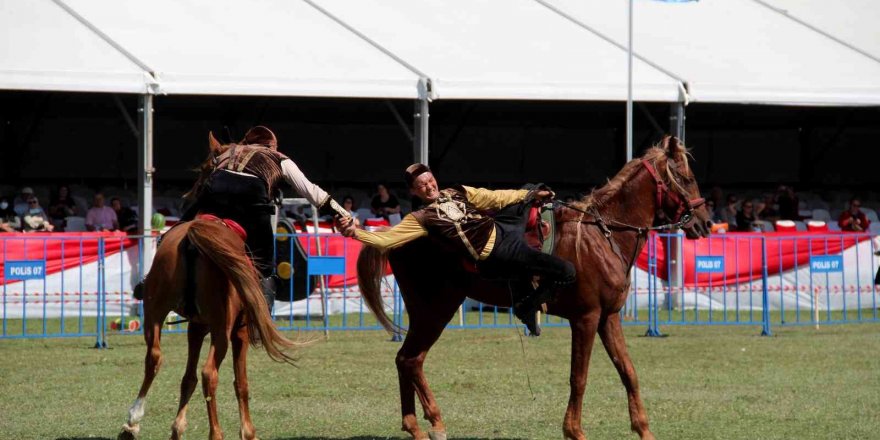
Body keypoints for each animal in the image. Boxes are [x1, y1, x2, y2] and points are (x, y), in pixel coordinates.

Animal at [117, 218, 300, 438]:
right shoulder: (239, 333)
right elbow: (241, 383)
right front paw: (248, 432)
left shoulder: (196, 327)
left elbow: (188, 379)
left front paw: (177, 428)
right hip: (221, 330)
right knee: (209, 373)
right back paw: (215, 433)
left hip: (155, 313)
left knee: (154, 357)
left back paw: (133, 419)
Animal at [354, 136, 712, 438]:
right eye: (685, 176)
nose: (705, 222)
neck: (601, 235)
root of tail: (401, 230)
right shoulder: (586, 318)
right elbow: (579, 377)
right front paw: (574, 431)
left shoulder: (609, 317)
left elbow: (628, 371)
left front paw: (643, 429)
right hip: (435, 309)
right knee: (411, 359)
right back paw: (431, 423)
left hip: (430, 310)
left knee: (407, 359)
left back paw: (418, 426)